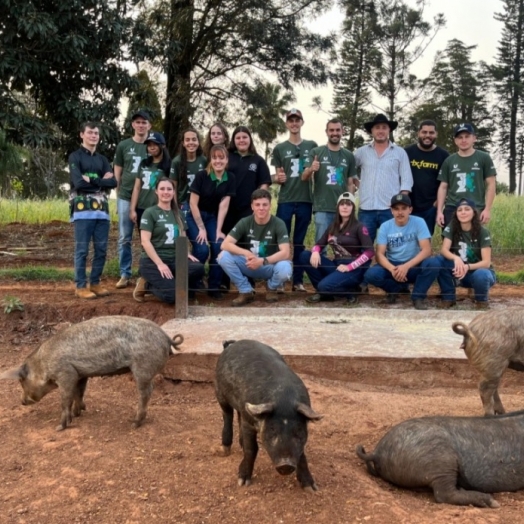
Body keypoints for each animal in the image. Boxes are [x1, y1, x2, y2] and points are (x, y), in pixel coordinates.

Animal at [0, 316, 184, 430]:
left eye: (21, 381)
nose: (22, 401)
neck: (43, 364)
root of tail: (166, 337)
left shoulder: (65, 373)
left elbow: (65, 399)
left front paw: (59, 427)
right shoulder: (80, 374)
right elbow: (79, 393)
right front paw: (78, 413)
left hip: (142, 367)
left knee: (146, 391)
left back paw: (134, 423)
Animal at [214, 340, 322, 492]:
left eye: (299, 430)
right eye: (272, 429)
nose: (286, 464)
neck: (284, 399)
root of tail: (233, 343)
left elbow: (301, 454)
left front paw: (311, 488)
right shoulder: (249, 421)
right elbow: (252, 449)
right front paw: (243, 481)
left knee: (238, 415)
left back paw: (240, 444)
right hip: (219, 392)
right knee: (227, 415)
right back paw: (225, 449)